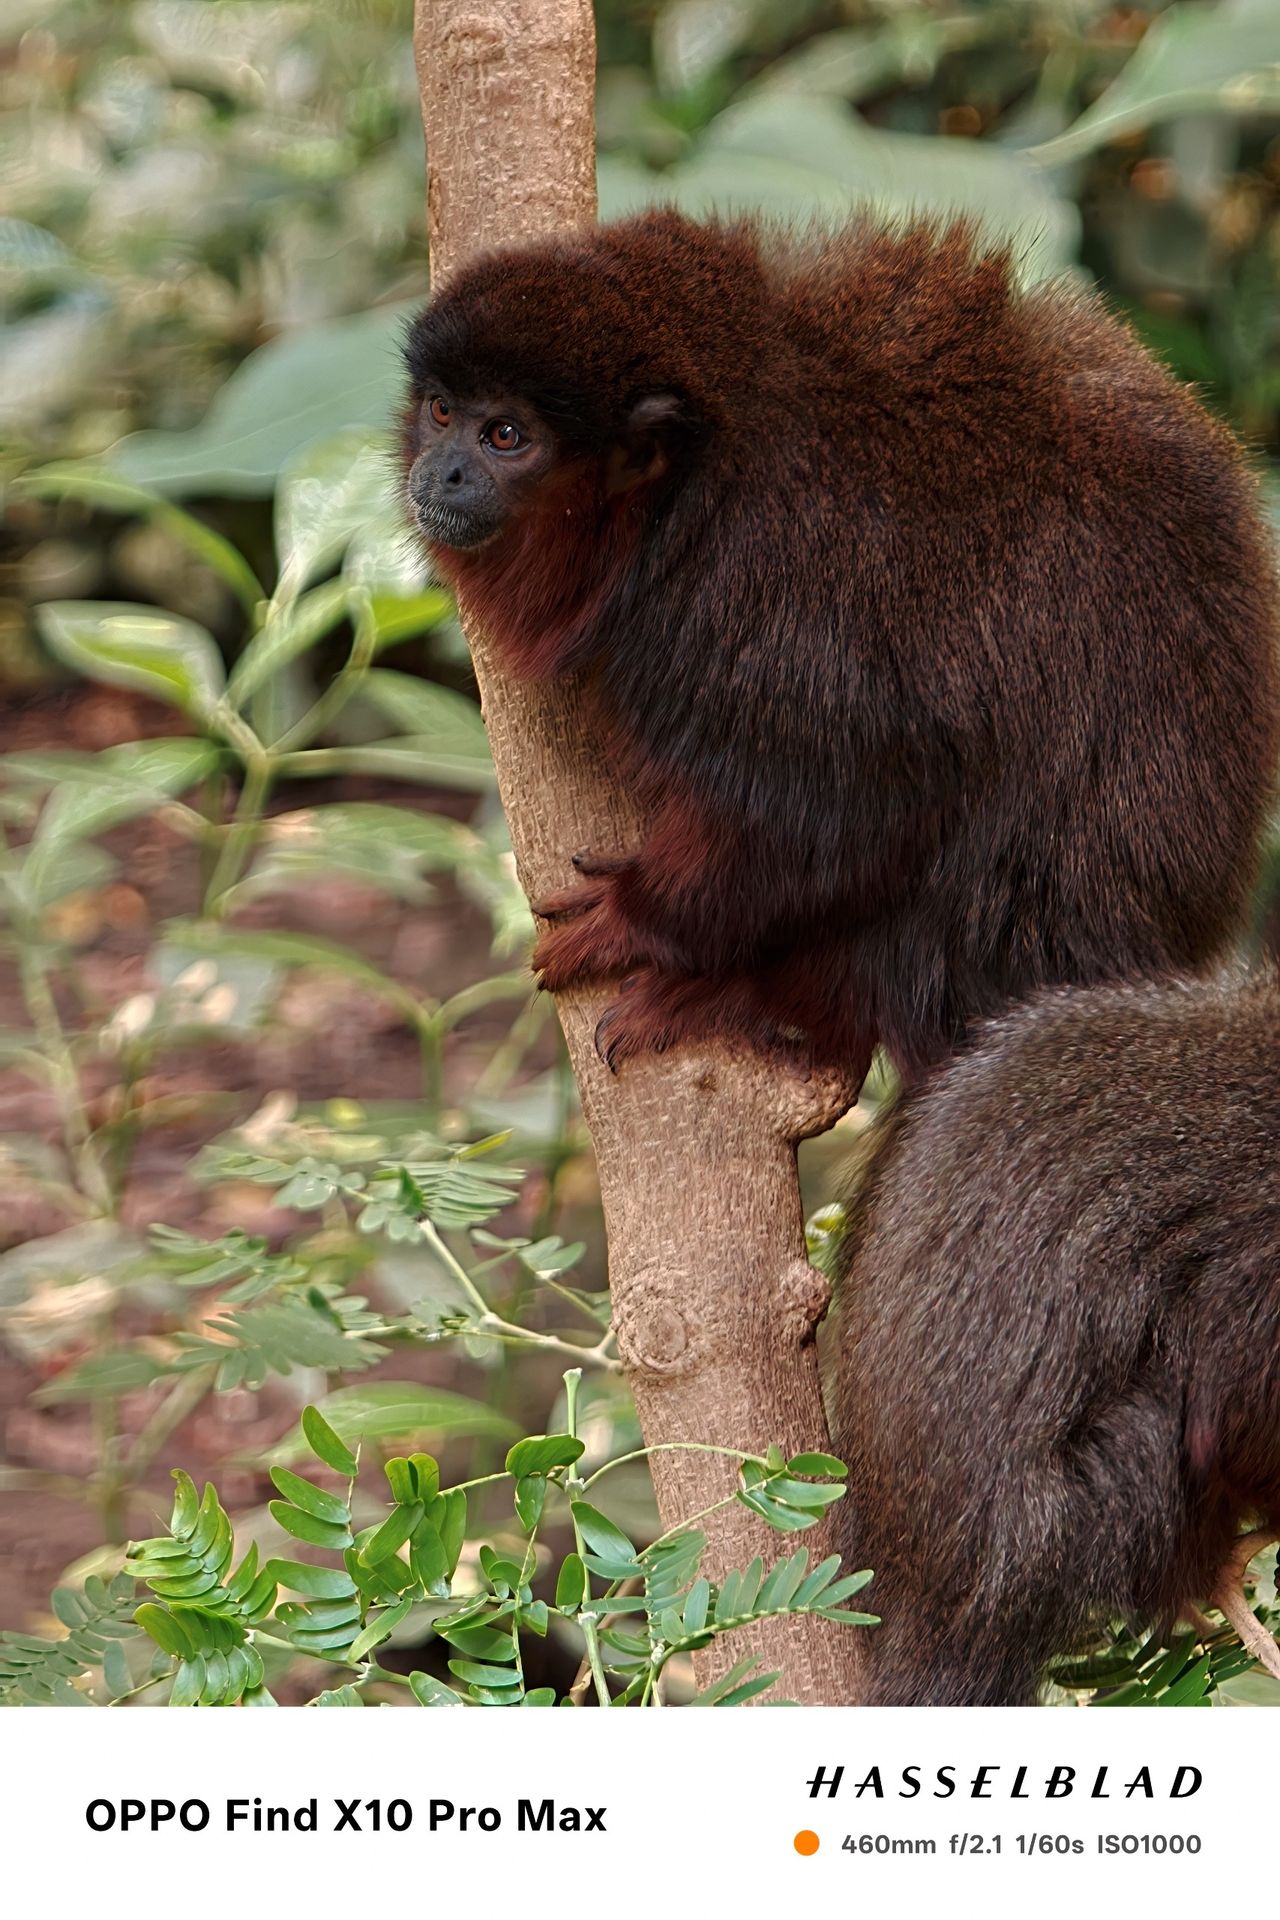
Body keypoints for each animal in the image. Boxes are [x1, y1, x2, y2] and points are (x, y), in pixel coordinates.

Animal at [400, 209, 1279, 1084]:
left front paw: (640, 917)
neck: (685, 498)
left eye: (504, 435)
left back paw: (753, 998)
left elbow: (858, 797)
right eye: (442, 412)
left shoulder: (761, 591)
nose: (440, 473)